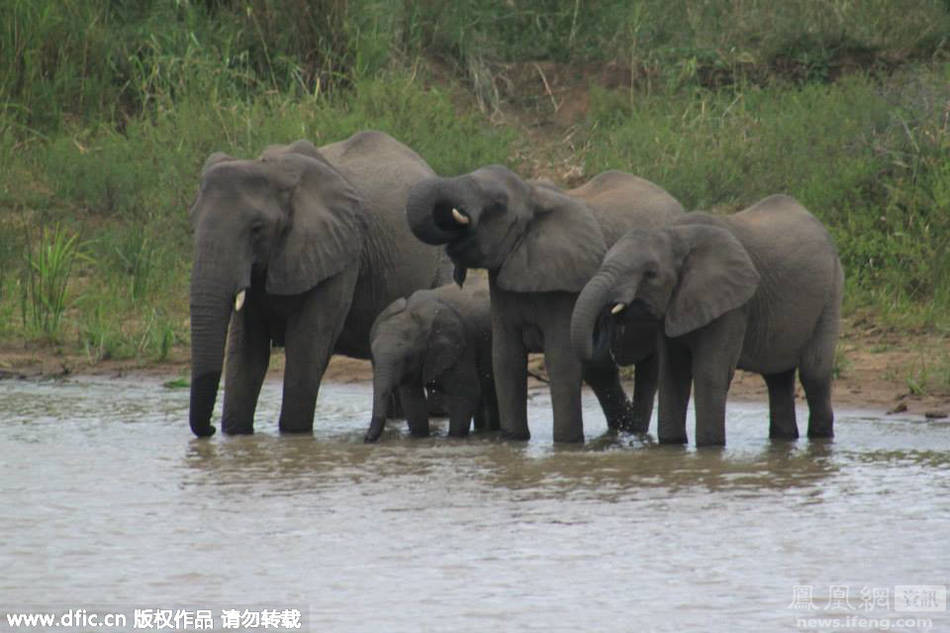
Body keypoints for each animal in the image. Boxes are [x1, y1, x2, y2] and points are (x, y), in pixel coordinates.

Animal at [192, 128, 452, 434]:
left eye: (257, 229)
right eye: (193, 223)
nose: (208, 429)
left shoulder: (343, 254)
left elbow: (307, 343)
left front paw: (293, 434)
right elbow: (246, 349)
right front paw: (236, 434)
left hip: (441, 257)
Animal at [364, 278, 498, 442]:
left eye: (406, 358)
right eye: (373, 358)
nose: (366, 438)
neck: (414, 312)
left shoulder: (460, 349)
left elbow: (467, 393)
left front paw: (454, 439)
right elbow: (412, 400)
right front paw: (418, 438)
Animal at [404, 165, 684, 442]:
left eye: (498, 204)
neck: (532, 195)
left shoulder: (565, 285)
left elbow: (561, 359)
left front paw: (566, 443)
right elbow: (505, 358)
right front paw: (514, 440)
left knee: (646, 371)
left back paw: (635, 431)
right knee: (601, 372)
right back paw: (621, 430)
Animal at [572, 195, 848, 446]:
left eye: (650, 274)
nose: (609, 316)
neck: (676, 235)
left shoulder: (733, 304)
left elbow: (710, 373)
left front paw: (710, 447)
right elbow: (672, 375)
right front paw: (673, 445)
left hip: (831, 291)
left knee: (814, 372)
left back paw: (821, 438)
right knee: (777, 378)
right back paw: (784, 438)